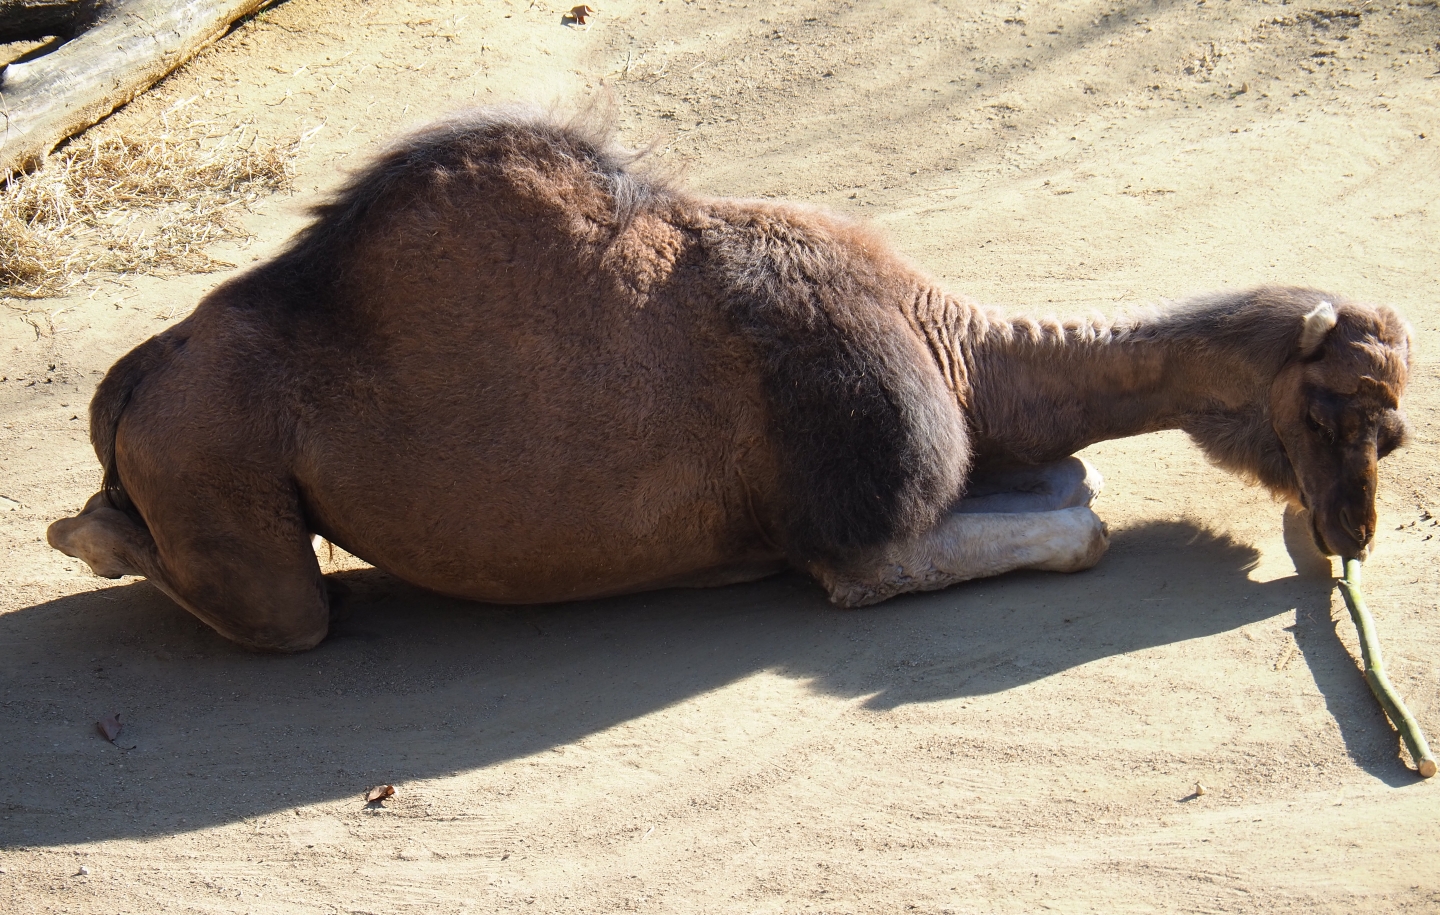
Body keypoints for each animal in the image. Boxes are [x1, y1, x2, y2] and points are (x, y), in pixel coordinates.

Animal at [47, 108, 1413, 651]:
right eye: (1343, 410)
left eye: (1390, 433)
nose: (1353, 529)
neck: (960, 349)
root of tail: (130, 385)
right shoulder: (860, 509)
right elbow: (1070, 529)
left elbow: (1064, 476)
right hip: (216, 475)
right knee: (281, 610)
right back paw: (82, 537)